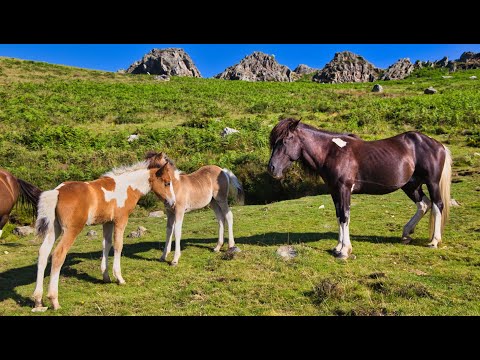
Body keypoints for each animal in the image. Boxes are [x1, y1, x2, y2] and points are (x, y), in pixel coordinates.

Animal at [31, 150, 171, 310]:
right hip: (71, 230)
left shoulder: (107, 222)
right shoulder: (120, 220)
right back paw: (54, 300)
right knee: (58, 255)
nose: (171, 202)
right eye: (167, 182)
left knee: (43, 253)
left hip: (54, 229)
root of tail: (57, 191)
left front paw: (106, 276)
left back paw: (38, 300)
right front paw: (119, 278)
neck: (127, 186)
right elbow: (118, 245)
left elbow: (106, 245)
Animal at [268, 118, 452, 258]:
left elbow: (345, 216)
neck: (332, 153)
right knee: (424, 204)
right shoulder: (334, 191)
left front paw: (344, 250)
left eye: (285, 140)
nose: (272, 168)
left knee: (437, 205)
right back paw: (406, 234)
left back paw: (434, 241)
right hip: (411, 185)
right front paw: (337, 247)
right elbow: (338, 216)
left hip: (432, 183)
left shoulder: (344, 189)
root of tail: (437, 144)